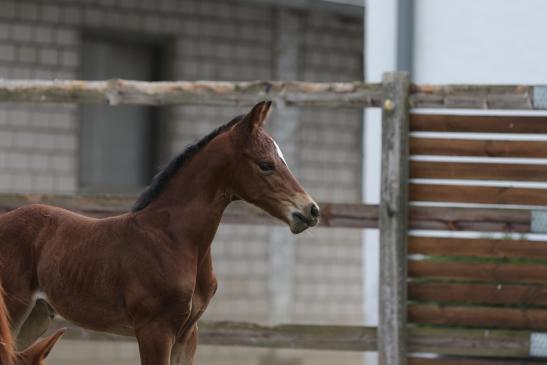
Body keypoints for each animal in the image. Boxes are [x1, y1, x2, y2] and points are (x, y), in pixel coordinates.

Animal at [0, 101, 322, 362]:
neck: (174, 238)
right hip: (13, 309)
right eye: (266, 164)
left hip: (36, 315)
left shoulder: (187, 335)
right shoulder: (154, 329)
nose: (311, 211)